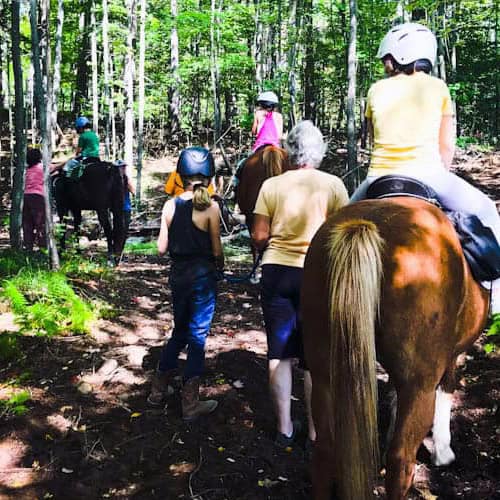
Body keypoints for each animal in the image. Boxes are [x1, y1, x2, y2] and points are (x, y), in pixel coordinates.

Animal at [300, 197, 488, 500]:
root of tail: (365, 225)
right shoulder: (450, 358)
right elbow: (447, 387)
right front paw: (443, 451)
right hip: (419, 385)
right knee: (400, 460)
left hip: (324, 373)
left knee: (325, 449)